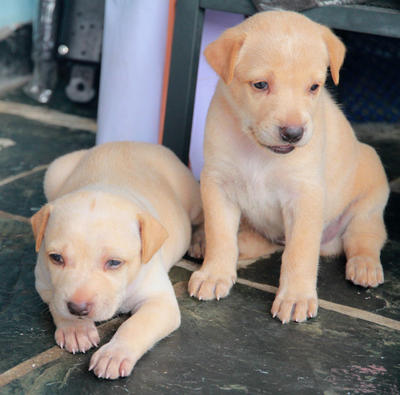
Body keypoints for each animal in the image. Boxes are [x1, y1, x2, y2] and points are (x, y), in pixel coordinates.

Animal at [30, 142, 203, 380]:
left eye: (114, 263)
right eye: (56, 258)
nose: (78, 308)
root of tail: (130, 142)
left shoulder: (160, 302)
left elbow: (136, 325)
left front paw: (114, 354)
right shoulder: (44, 282)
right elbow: (56, 304)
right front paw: (76, 329)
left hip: (192, 197)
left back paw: (200, 242)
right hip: (55, 172)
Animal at [189, 10, 390, 324]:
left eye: (314, 87)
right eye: (260, 85)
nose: (293, 133)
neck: (259, 152)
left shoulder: (304, 196)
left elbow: (300, 252)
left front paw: (295, 298)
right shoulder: (217, 183)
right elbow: (220, 234)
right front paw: (214, 274)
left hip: (369, 198)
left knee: (364, 237)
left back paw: (365, 267)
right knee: (256, 242)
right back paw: (205, 241)